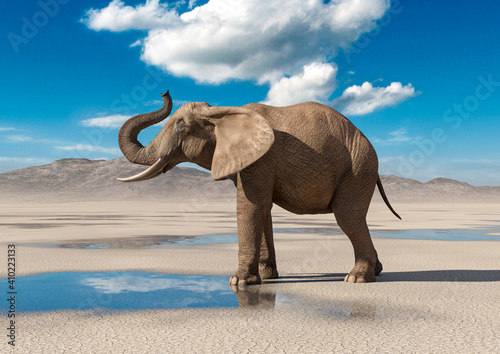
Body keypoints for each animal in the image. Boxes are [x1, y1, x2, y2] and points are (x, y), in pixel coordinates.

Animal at [117, 91, 398, 288]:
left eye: (181, 127)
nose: (164, 92)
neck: (221, 113)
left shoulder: (262, 159)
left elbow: (250, 206)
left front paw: (239, 282)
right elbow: (262, 209)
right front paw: (266, 277)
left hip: (359, 168)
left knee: (347, 217)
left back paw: (356, 279)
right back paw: (376, 271)